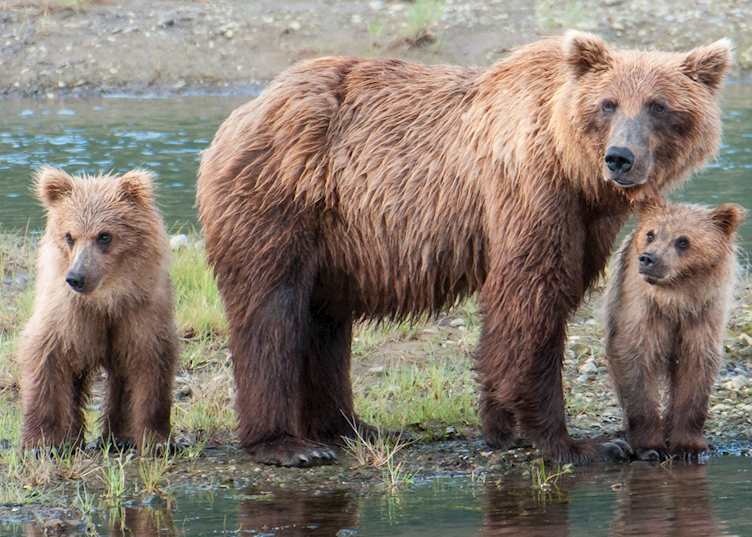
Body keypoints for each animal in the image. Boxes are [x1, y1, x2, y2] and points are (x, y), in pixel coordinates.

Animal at [19, 167, 178, 451]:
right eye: (69, 236)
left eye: (104, 235)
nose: (76, 277)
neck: (106, 299)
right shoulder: (68, 314)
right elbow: (47, 357)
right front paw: (42, 441)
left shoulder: (139, 313)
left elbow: (149, 365)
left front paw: (157, 440)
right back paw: (73, 438)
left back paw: (119, 438)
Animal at [605, 202, 744, 461]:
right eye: (650, 234)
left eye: (683, 241)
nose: (648, 258)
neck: (676, 299)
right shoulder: (641, 313)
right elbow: (636, 365)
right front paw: (650, 446)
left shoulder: (702, 319)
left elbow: (696, 373)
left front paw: (689, 446)